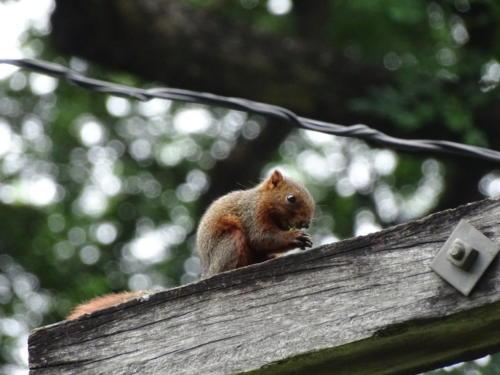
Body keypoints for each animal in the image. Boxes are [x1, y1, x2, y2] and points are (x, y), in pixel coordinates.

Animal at [66, 170, 312, 320]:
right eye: (291, 198)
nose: (306, 222)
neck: (263, 201)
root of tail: (208, 272)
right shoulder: (251, 214)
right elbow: (261, 238)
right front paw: (295, 237)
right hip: (230, 242)